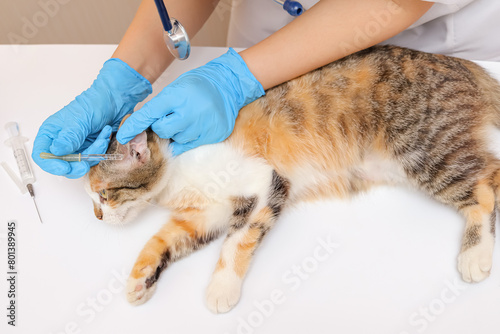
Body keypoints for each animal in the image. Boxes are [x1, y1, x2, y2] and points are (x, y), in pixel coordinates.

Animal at [86, 44, 500, 314]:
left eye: (105, 195)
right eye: (94, 199)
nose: (97, 217)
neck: (177, 168)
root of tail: (459, 64)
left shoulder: (262, 182)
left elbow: (237, 241)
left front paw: (222, 287)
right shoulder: (206, 212)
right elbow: (164, 238)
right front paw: (140, 278)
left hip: (423, 150)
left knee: (484, 187)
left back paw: (474, 254)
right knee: (491, 169)